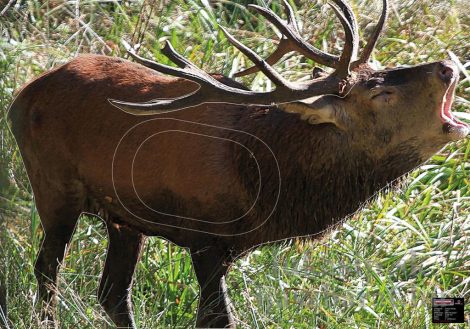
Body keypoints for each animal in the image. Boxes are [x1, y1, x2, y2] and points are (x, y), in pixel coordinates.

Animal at [5, 0, 468, 326]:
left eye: (385, 69)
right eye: (379, 93)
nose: (447, 66)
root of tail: (22, 95)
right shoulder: (204, 235)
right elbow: (220, 319)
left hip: (123, 215)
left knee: (113, 294)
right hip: (52, 185)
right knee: (47, 270)